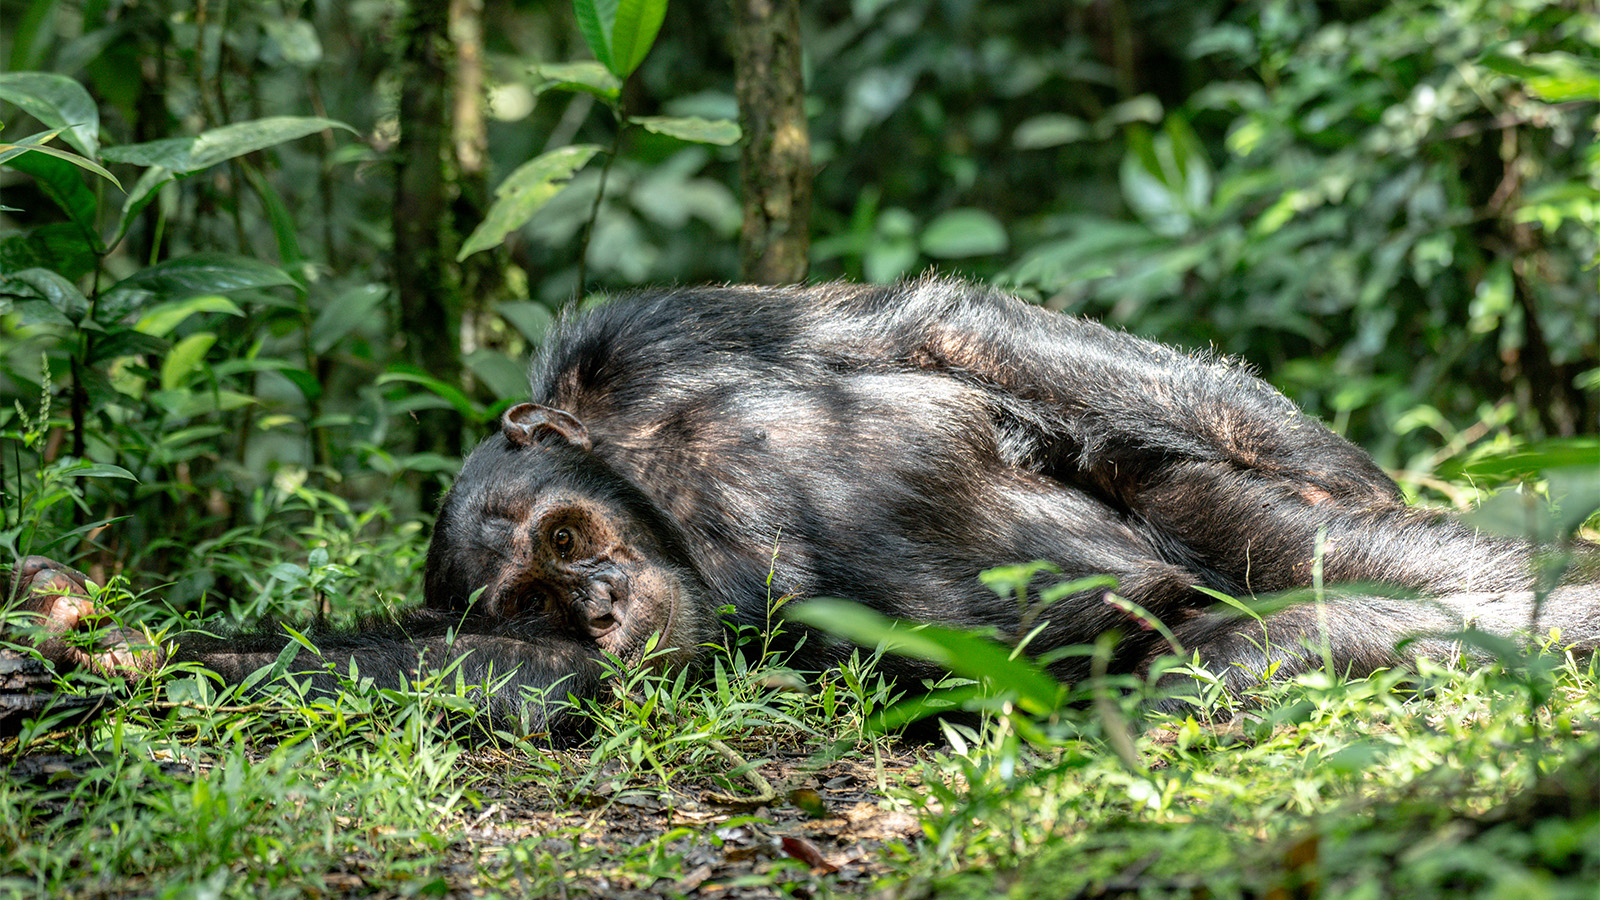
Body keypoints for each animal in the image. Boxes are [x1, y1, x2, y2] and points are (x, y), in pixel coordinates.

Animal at [12, 277, 1600, 733]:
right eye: (532, 594)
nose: (595, 600)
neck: (650, 489)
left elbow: (940, 331)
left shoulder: (650, 338)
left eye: (567, 543)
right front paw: (97, 649)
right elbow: (527, 685)